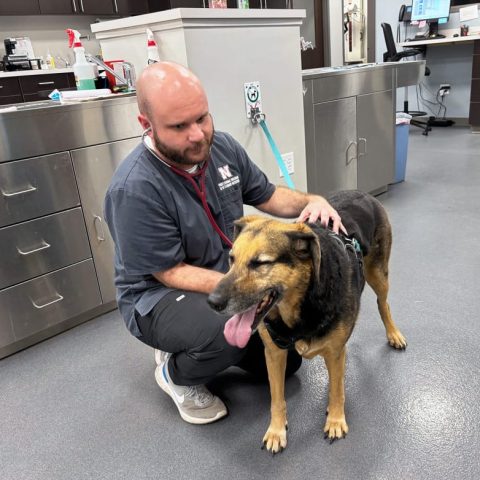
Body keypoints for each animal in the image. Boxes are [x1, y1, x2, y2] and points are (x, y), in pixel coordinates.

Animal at [208, 189, 406, 452]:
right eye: (231, 259)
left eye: (261, 263)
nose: (212, 302)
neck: (301, 305)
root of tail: (361, 192)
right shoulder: (274, 354)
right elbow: (277, 398)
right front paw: (276, 430)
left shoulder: (334, 353)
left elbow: (336, 391)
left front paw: (335, 420)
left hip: (378, 275)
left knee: (383, 304)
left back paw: (394, 334)